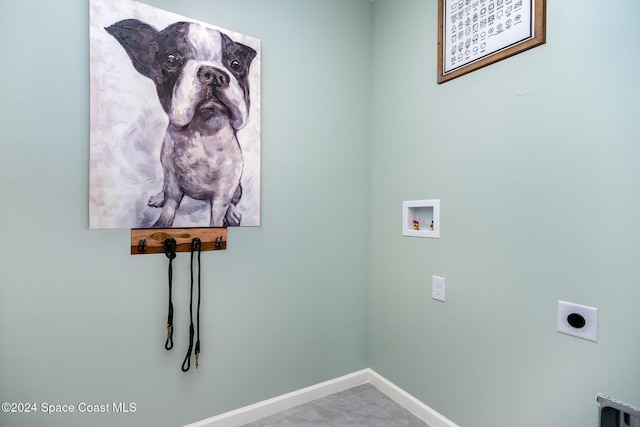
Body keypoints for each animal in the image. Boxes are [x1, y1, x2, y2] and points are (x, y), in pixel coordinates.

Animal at [104, 18, 255, 227]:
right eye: (171, 60)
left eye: (236, 64)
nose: (214, 74)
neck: (202, 133)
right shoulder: (173, 182)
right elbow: (169, 207)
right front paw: (160, 224)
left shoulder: (223, 193)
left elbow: (217, 218)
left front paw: (224, 218)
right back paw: (159, 197)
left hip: (237, 189)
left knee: (234, 200)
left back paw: (232, 213)